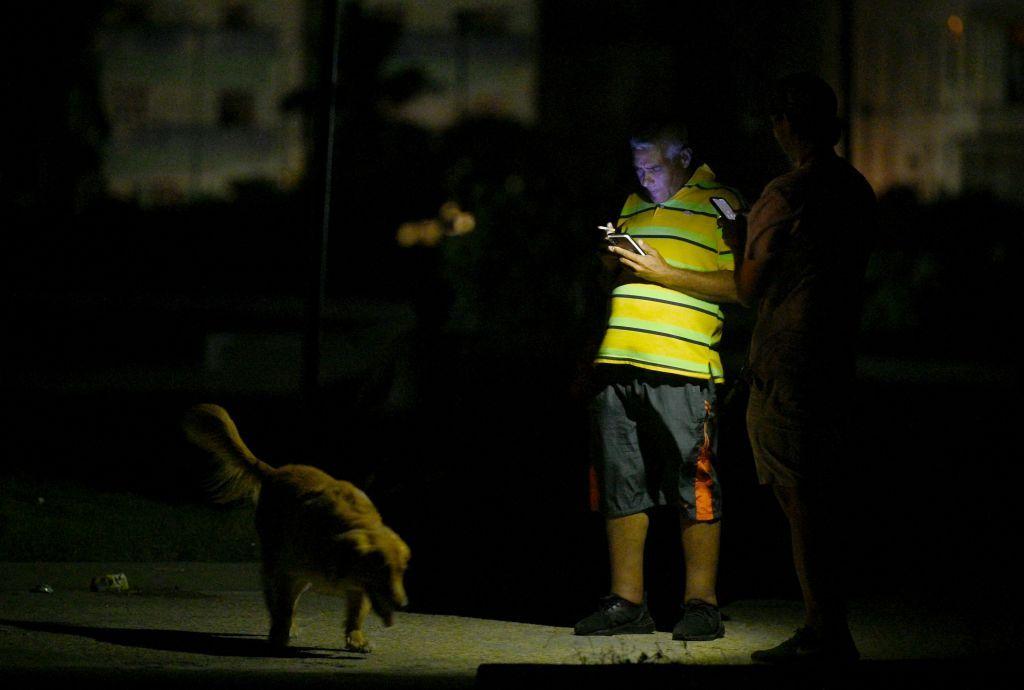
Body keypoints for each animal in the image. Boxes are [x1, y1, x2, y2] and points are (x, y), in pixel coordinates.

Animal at [182, 401, 409, 647]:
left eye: (401, 571)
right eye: (382, 570)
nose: (403, 605)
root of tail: (273, 471)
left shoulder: (358, 586)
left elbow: (357, 612)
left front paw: (356, 637)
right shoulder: (289, 573)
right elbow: (284, 607)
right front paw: (281, 633)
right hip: (275, 562)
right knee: (274, 599)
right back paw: (282, 627)